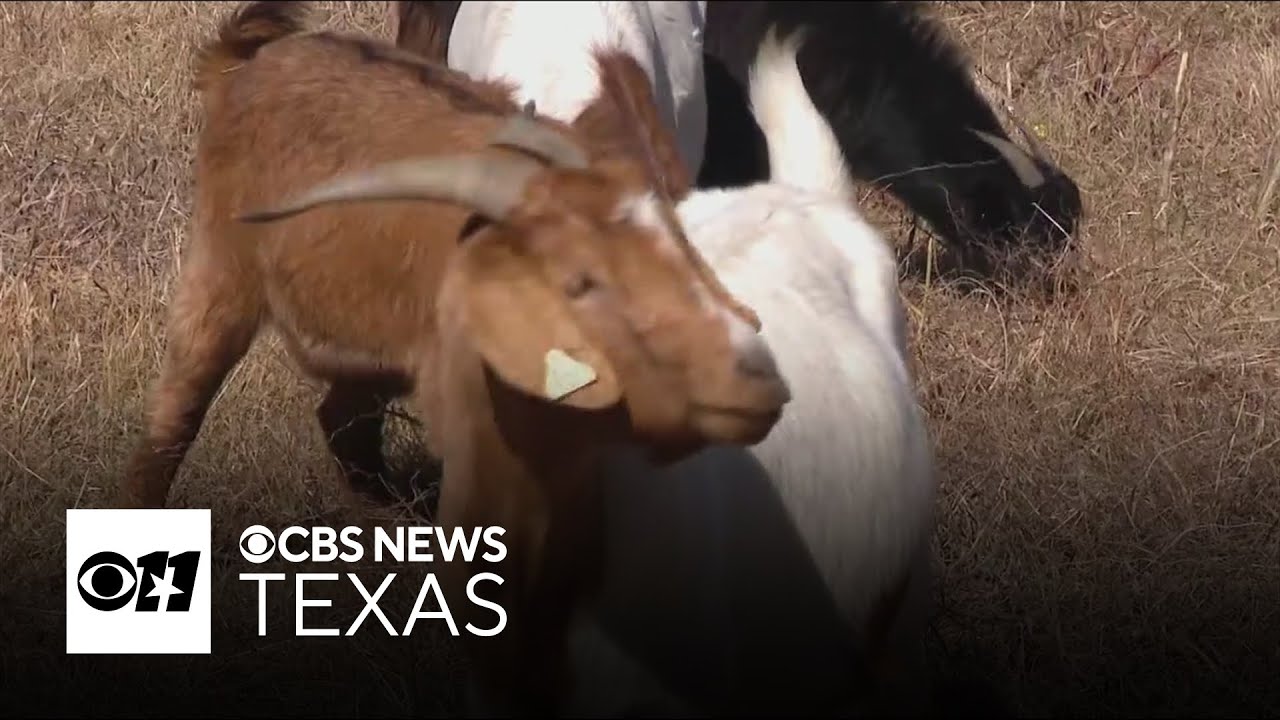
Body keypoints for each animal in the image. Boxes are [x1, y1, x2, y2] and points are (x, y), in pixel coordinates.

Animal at [121, 2, 792, 714]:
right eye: (582, 282)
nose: (751, 373)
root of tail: (253, 62)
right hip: (222, 273)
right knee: (178, 410)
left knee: (344, 417)